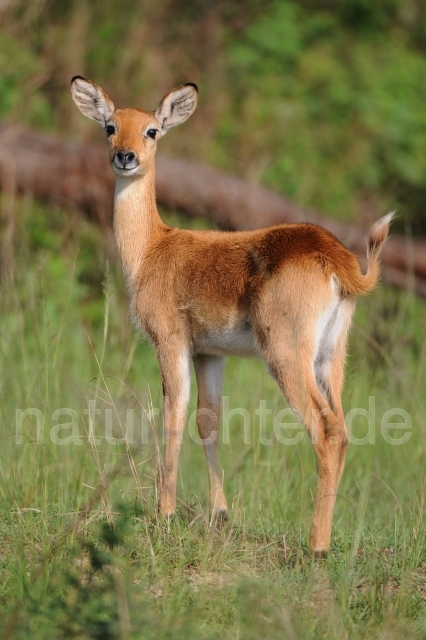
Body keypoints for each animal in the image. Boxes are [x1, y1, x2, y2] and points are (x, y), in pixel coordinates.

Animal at [70, 74, 392, 556]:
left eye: (152, 130)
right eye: (110, 126)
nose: (125, 157)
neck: (151, 249)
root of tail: (340, 261)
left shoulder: (170, 340)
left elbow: (172, 413)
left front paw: (164, 514)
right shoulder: (210, 352)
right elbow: (208, 419)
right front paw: (219, 514)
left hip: (285, 354)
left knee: (325, 430)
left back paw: (316, 546)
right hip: (331, 357)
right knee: (345, 429)